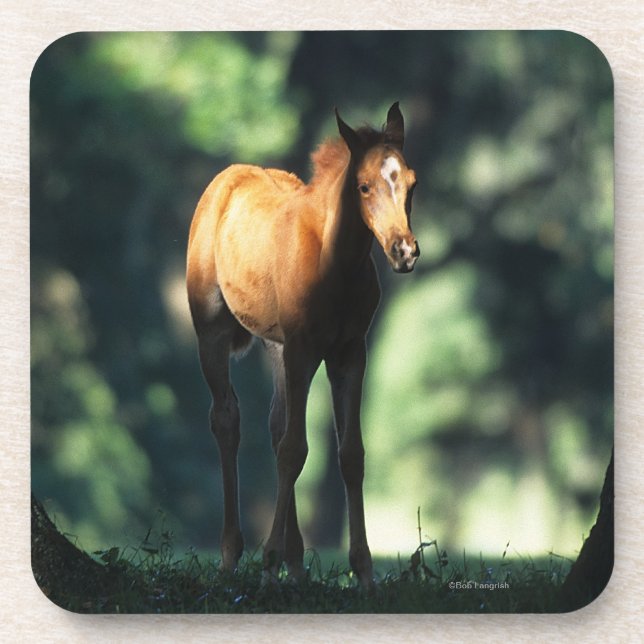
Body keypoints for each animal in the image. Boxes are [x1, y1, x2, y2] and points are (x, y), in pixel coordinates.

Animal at [186, 102, 419, 588]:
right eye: (363, 185)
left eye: (411, 182)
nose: (404, 251)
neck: (336, 265)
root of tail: (226, 178)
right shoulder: (303, 348)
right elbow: (295, 450)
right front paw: (268, 560)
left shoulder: (350, 352)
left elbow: (349, 453)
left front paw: (364, 572)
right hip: (213, 334)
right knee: (227, 419)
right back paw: (233, 555)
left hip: (276, 347)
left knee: (277, 426)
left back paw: (294, 565)